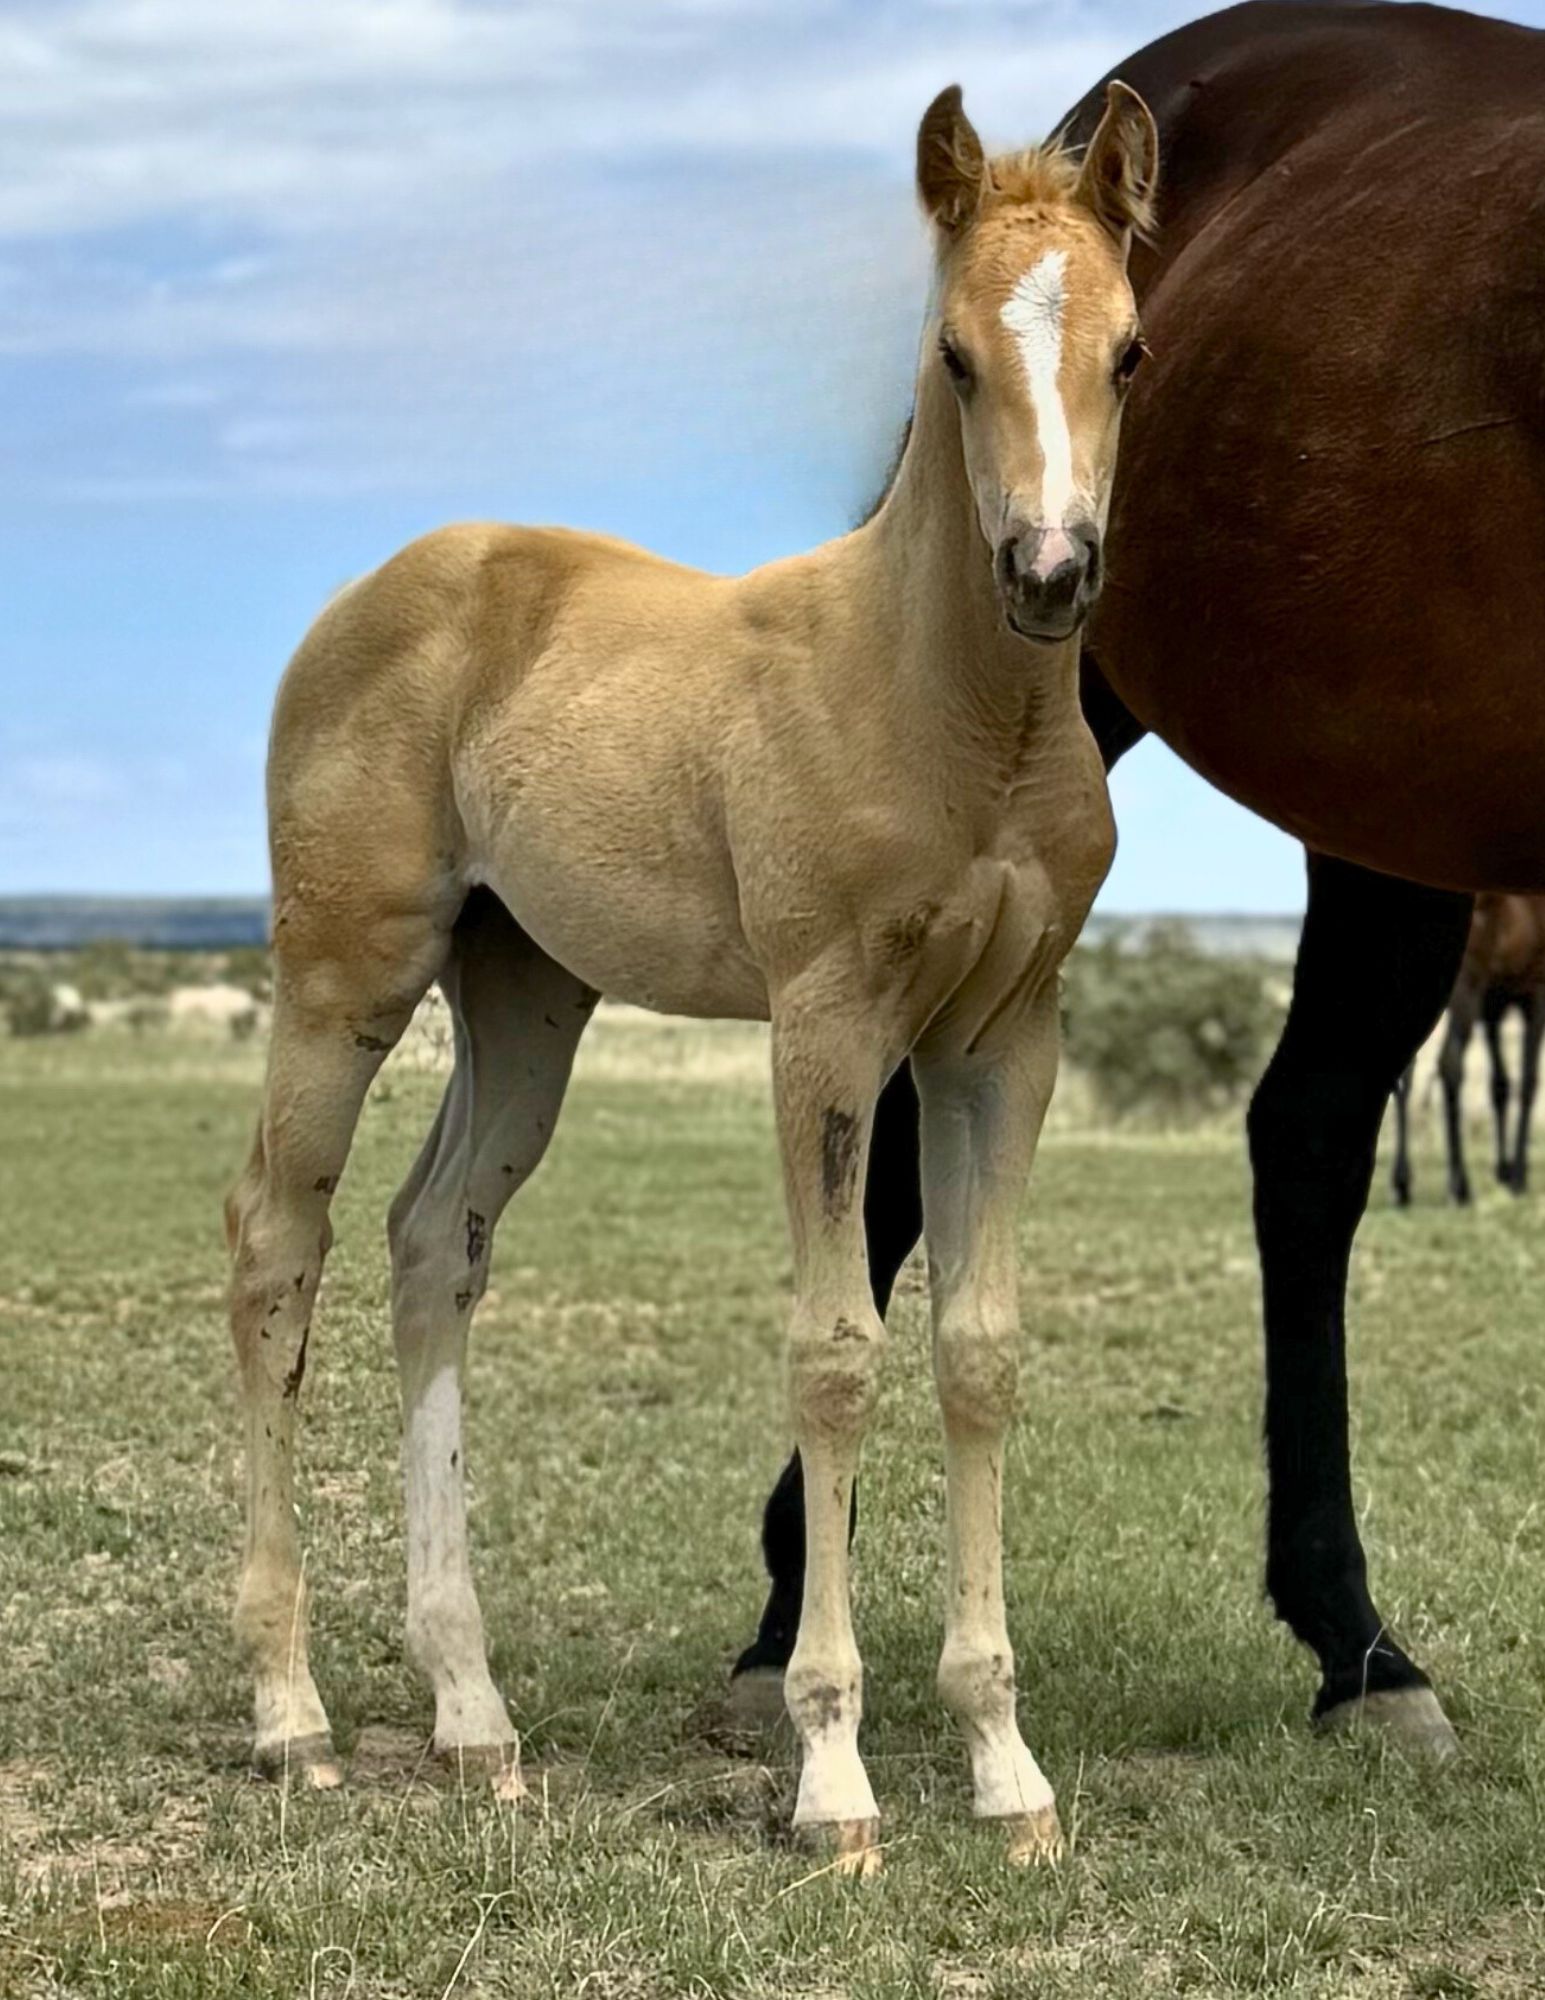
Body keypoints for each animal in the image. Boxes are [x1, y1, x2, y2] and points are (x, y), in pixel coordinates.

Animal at [224, 83, 1159, 1870]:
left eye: (1130, 350)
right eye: (949, 356)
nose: (1050, 572)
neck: (957, 711)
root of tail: (363, 596)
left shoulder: (1004, 1037)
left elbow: (979, 1353)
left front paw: (1006, 1769)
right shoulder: (826, 1023)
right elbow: (837, 1354)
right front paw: (835, 1782)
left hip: (522, 991)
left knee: (429, 1244)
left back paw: (473, 1717)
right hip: (342, 973)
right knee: (276, 1248)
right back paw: (292, 1716)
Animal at [1391, 894, 1545, 1206]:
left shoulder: (1493, 1005)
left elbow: (1499, 1086)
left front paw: (1504, 1170)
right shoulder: (1535, 996)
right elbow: (1527, 1083)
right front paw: (1518, 1176)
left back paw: (1403, 1184)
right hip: (1464, 990)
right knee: (1450, 1065)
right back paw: (1459, 1185)